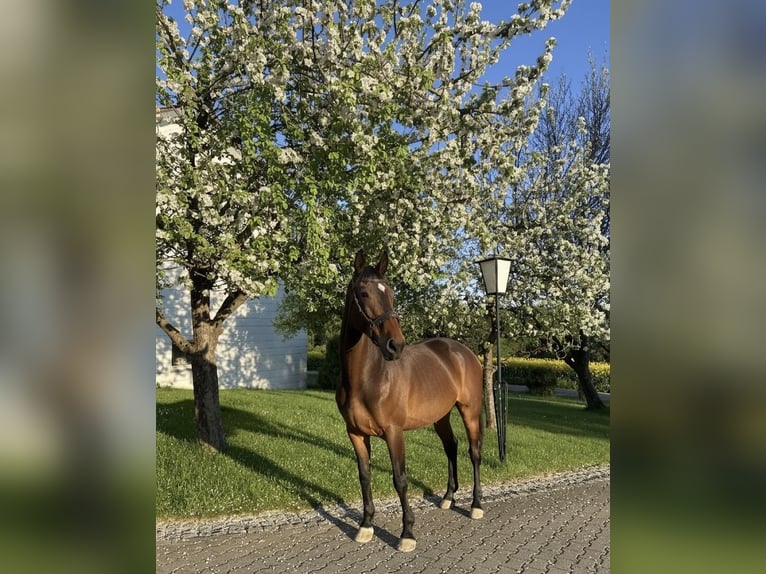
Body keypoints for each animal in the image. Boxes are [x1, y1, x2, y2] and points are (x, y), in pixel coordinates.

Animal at [335, 249, 484, 552]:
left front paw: (407, 533)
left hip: (470, 411)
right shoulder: (355, 433)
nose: (396, 345)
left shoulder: (394, 432)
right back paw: (448, 498)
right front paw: (365, 526)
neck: (366, 378)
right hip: (441, 416)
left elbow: (400, 479)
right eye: (364, 293)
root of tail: (464, 353)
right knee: (451, 446)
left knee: (474, 452)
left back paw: (476, 505)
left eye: (391, 292)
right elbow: (364, 475)